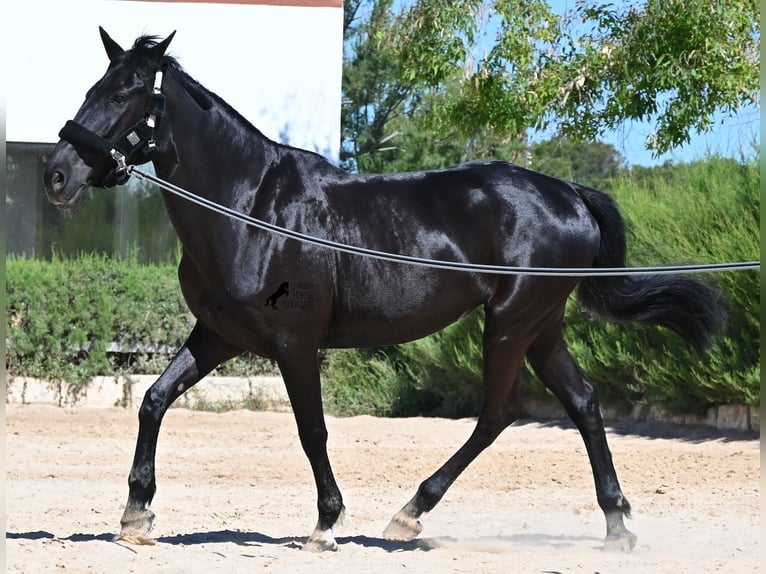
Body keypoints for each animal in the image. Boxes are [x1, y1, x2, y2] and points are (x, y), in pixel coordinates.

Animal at [43, 29, 725, 553]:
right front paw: (137, 514)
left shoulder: (295, 343)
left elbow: (312, 431)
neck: (252, 207)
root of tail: (570, 194)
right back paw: (615, 526)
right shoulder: (218, 336)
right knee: (582, 403)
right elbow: (153, 400)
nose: (57, 175)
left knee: (498, 413)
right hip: (541, 327)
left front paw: (325, 524)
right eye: (91, 89)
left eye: (126, 94)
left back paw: (410, 512)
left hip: (511, 322)